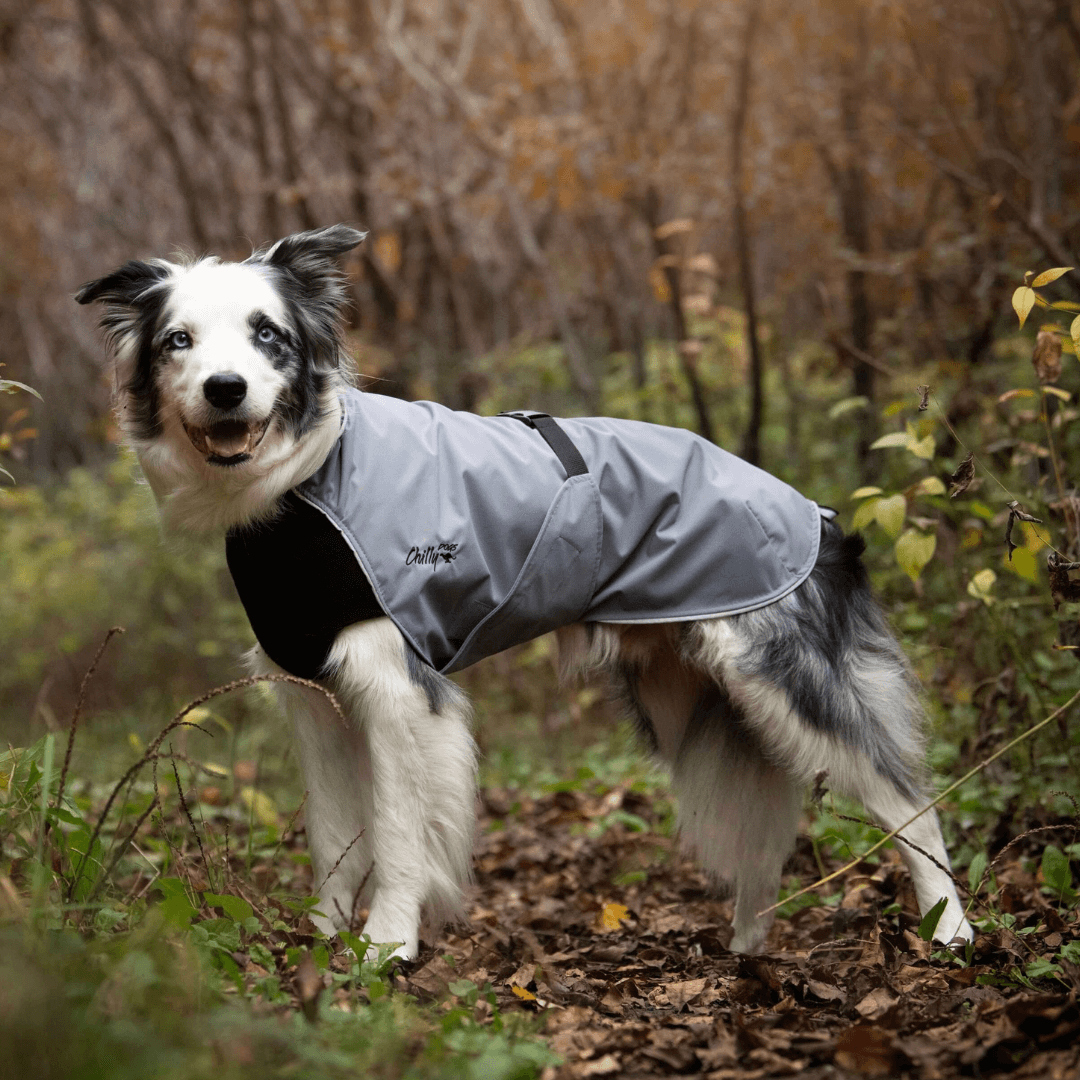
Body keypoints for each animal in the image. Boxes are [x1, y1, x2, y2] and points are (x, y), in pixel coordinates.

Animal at [76, 223, 972, 959]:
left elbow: (396, 834)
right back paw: (748, 945)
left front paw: (385, 947)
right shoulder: (313, 695)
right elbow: (332, 833)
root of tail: (818, 516)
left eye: (268, 334)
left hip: (783, 679)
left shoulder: (396, 688)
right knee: (766, 827)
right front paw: (321, 946)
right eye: (179, 341)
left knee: (906, 797)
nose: (225, 388)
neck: (306, 481)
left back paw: (951, 929)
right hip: (695, 698)